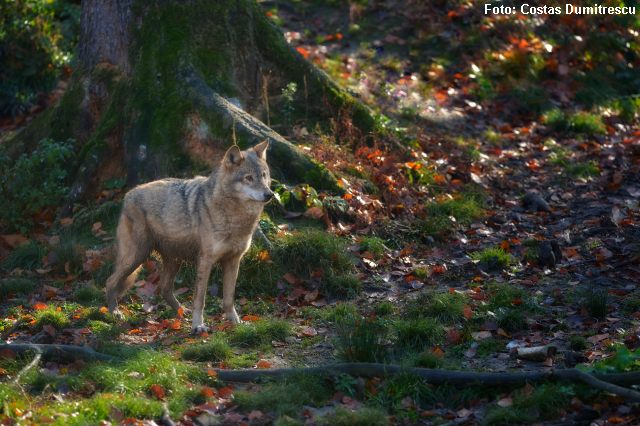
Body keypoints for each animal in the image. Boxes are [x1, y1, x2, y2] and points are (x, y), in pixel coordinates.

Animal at [104, 140, 272, 332]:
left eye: (264, 176)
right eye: (249, 178)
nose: (270, 194)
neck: (235, 217)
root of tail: (128, 194)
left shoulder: (233, 260)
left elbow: (229, 299)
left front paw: (235, 322)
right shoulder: (205, 261)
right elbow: (200, 298)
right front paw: (198, 325)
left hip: (172, 260)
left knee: (163, 287)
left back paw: (182, 312)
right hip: (137, 257)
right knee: (110, 281)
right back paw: (114, 314)